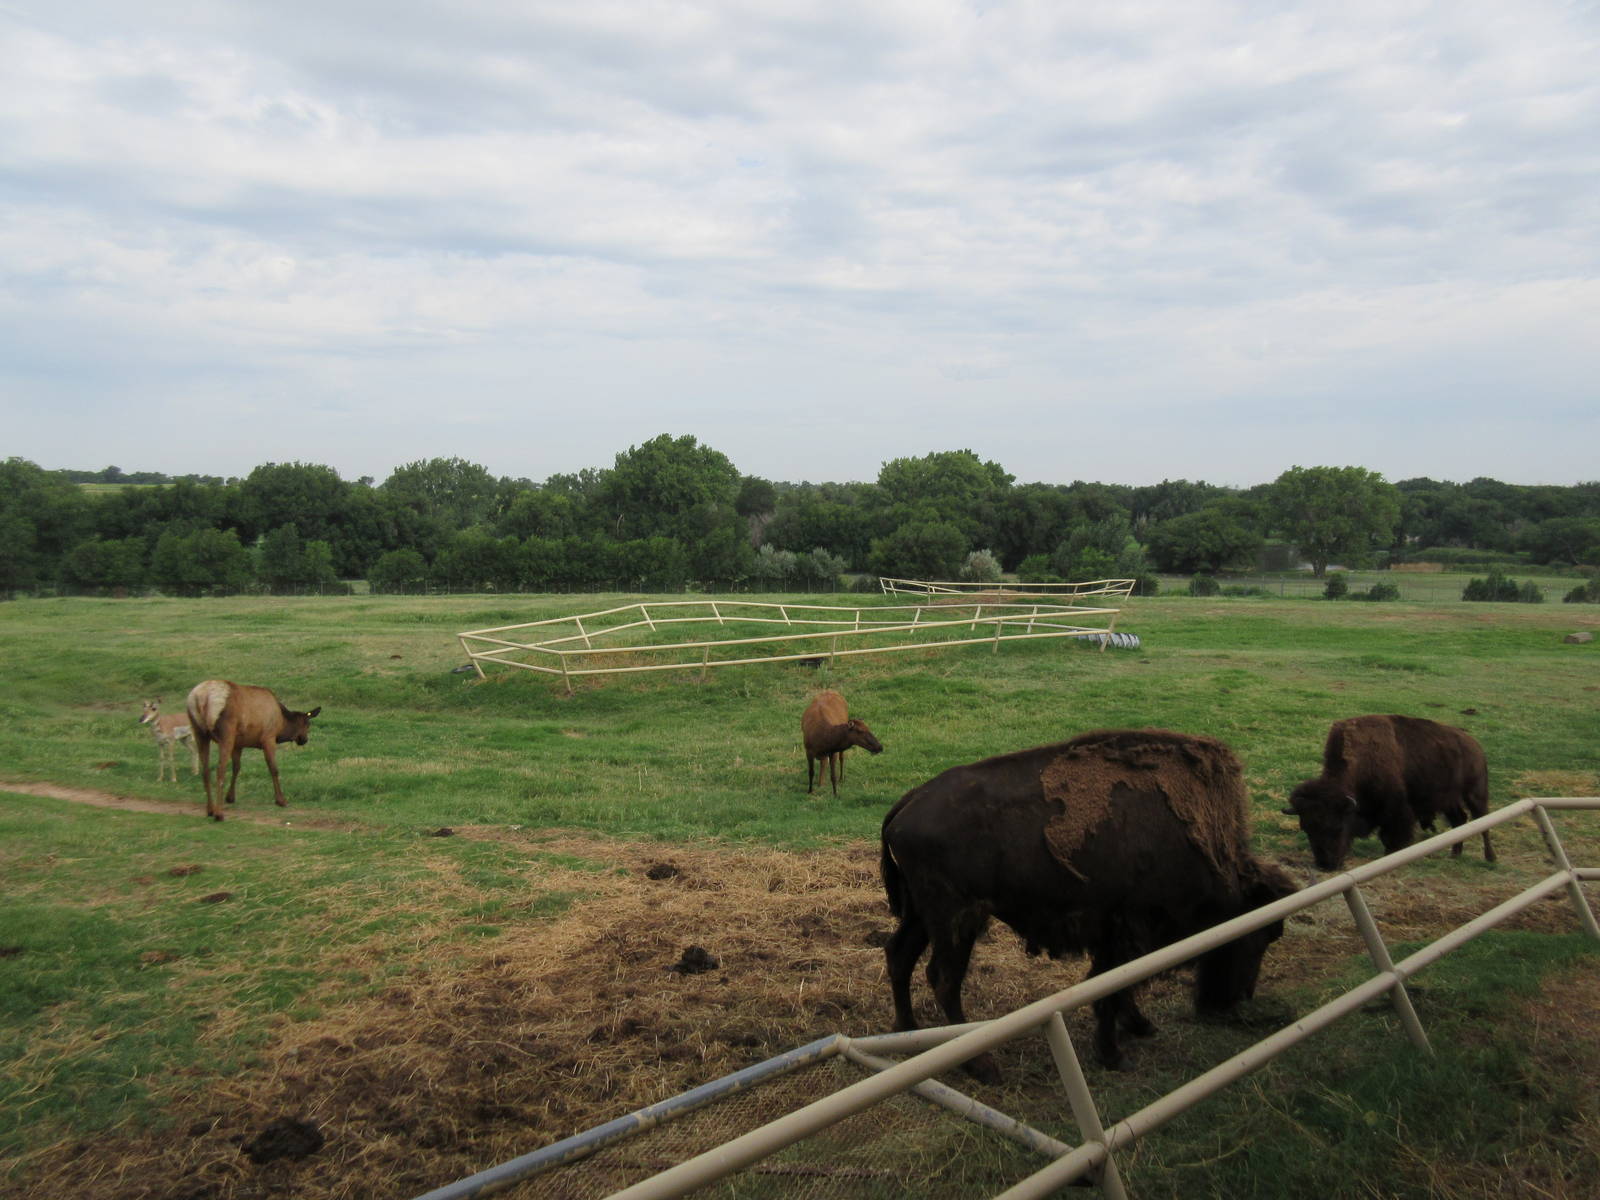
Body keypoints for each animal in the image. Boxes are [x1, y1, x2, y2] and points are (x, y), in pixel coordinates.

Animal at [881, 728, 1297, 1079]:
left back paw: (907, 1031)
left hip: (921, 915)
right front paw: (1113, 1054)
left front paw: (1140, 1026)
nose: (1234, 1001)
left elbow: (1121, 987)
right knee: (944, 978)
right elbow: (1111, 989)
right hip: (956, 919)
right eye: (1260, 935)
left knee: (900, 955)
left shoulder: (1121, 937)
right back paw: (981, 1066)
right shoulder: (1127, 933)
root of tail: (909, 801)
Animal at [1284, 714, 1494, 870]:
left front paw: (1391, 854)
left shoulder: (1396, 810)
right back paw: (1454, 854)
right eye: (1307, 829)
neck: (1362, 761)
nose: (1326, 865)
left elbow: (1392, 835)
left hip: (1475, 794)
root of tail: (1476, 746)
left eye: (1338, 827)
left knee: (1483, 822)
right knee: (1459, 820)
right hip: (1449, 800)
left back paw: (1490, 858)